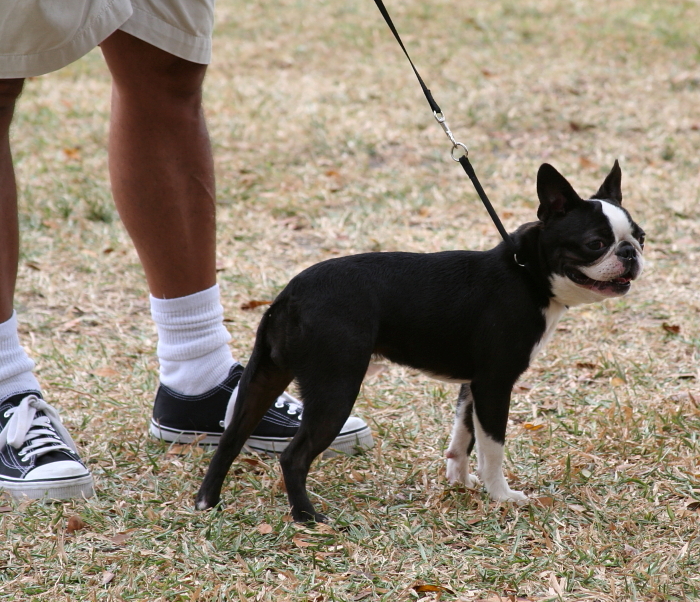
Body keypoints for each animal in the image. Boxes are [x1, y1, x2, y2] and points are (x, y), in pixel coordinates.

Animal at [194, 161, 644, 520]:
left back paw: (207, 502)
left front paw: (459, 482)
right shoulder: (496, 384)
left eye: (640, 236)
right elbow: (492, 447)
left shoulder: (472, 385)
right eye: (595, 244)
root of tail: (290, 295)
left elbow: (462, 437)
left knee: (231, 438)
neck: (526, 272)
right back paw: (307, 517)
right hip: (336, 388)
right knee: (293, 456)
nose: (630, 252)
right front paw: (501, 496)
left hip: (264, 376)